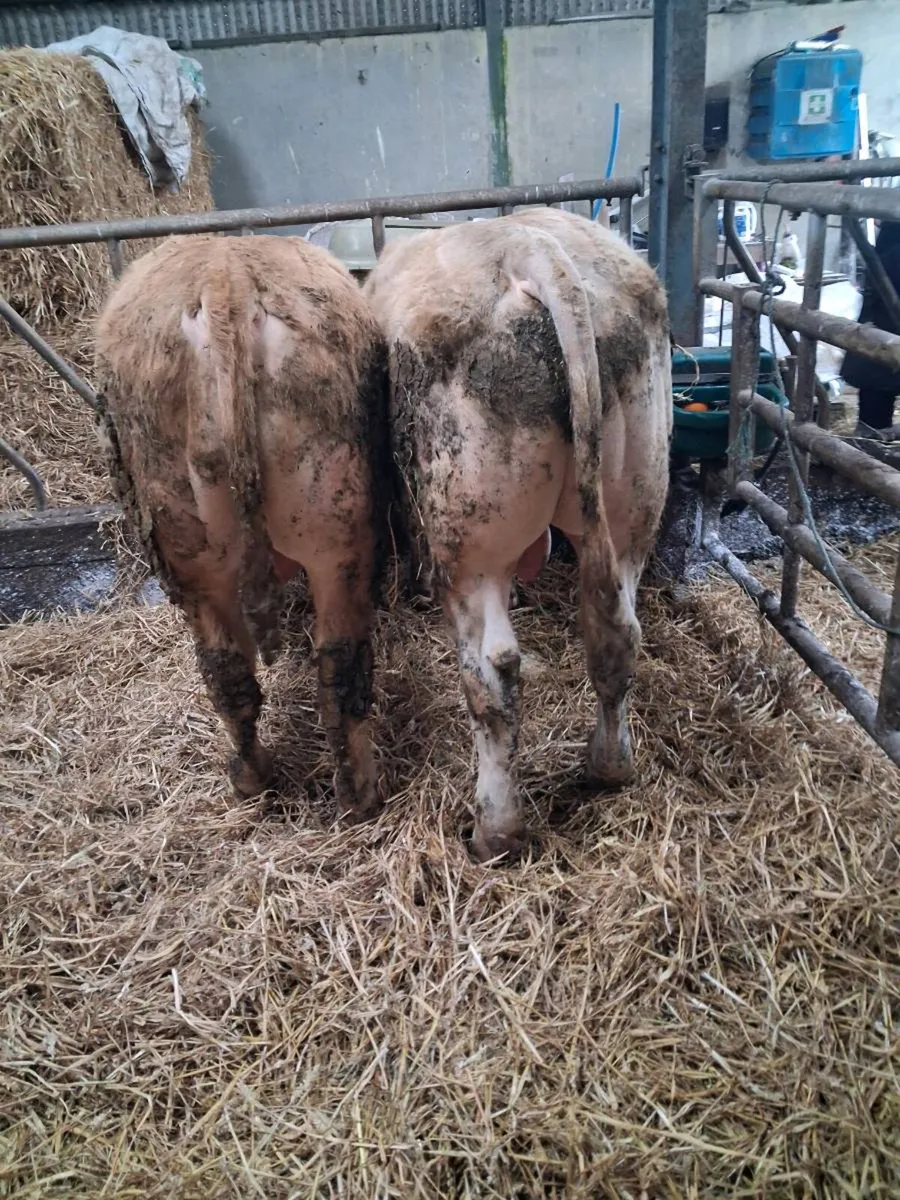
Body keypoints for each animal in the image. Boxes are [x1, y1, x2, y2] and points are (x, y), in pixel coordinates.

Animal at [95, 234, 388, 822]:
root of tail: (224, 283)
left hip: (262, 533)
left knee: (289, 671)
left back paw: (307, 788)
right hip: (277, 541)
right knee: (271, 671)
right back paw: (301, 786)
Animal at [364, 207, 672, 862]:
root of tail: (529, 249)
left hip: (470, 545)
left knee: (492, 674)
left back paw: (494, 829)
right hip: (634, 504)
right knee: (617, 634)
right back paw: (609, 765)